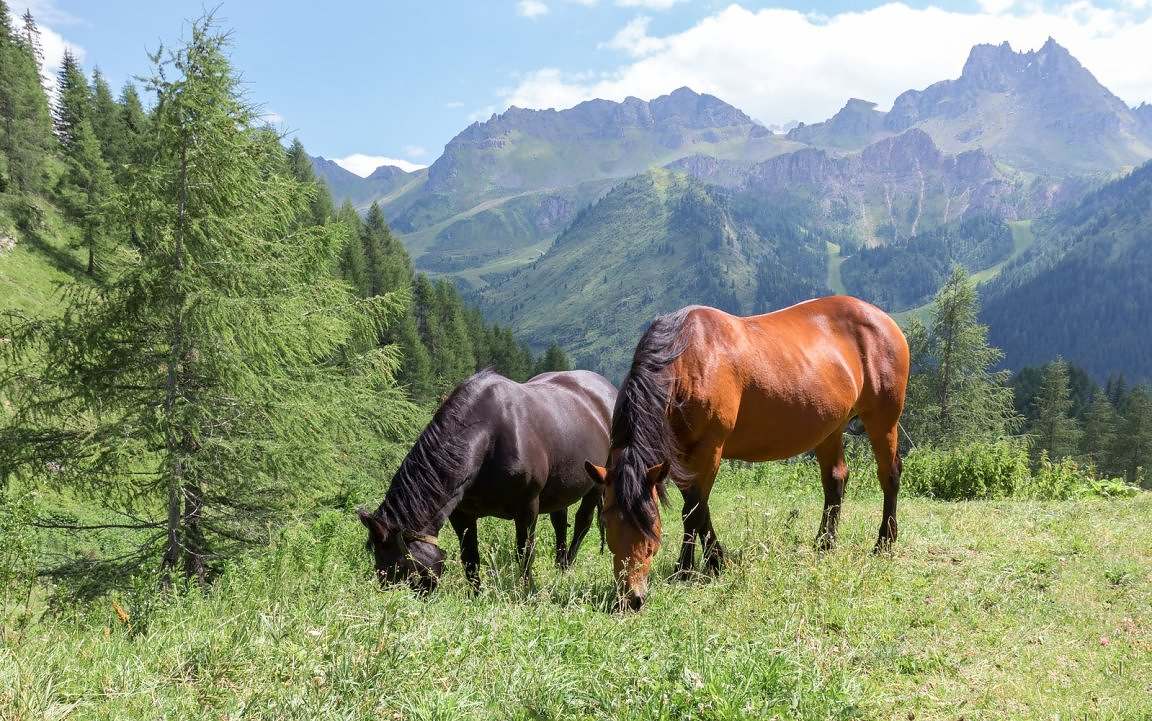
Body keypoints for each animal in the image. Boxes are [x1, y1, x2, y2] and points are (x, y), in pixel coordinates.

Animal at [357, 368, 617, 594]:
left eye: (399, 567)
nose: (396, 600)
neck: (490, 439)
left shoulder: (527, 507)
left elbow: (525, 552)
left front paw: (526, 592)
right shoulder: (461, 513)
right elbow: (470, 556)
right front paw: (475, 595)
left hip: (596, 483)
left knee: (582, 523)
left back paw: (567, 567)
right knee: (560, 522)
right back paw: (560, 565)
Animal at [585, 297, 907, 608]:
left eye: (651, 525)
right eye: (608, 525)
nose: (630, 598)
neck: (687, 361)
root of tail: (884, 320)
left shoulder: (709, 449)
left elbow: (693, 511)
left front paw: (685, 570)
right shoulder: (678, 459)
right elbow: (699, 507)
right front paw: (715, 560)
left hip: (883, 419)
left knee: (889, 475)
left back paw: (884, 543)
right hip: (831, 429)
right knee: (836, 479)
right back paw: (825, 543)